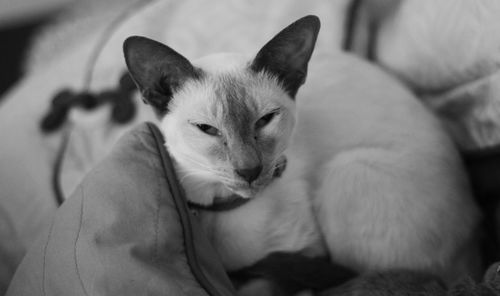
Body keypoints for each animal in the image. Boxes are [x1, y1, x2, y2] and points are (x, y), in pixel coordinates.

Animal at [124, 14, 480, 294]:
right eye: (207, 129)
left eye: (265, 120)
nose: (249, 170)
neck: (217, 208)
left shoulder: (306, 250)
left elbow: (268, 281)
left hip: (346, 171)